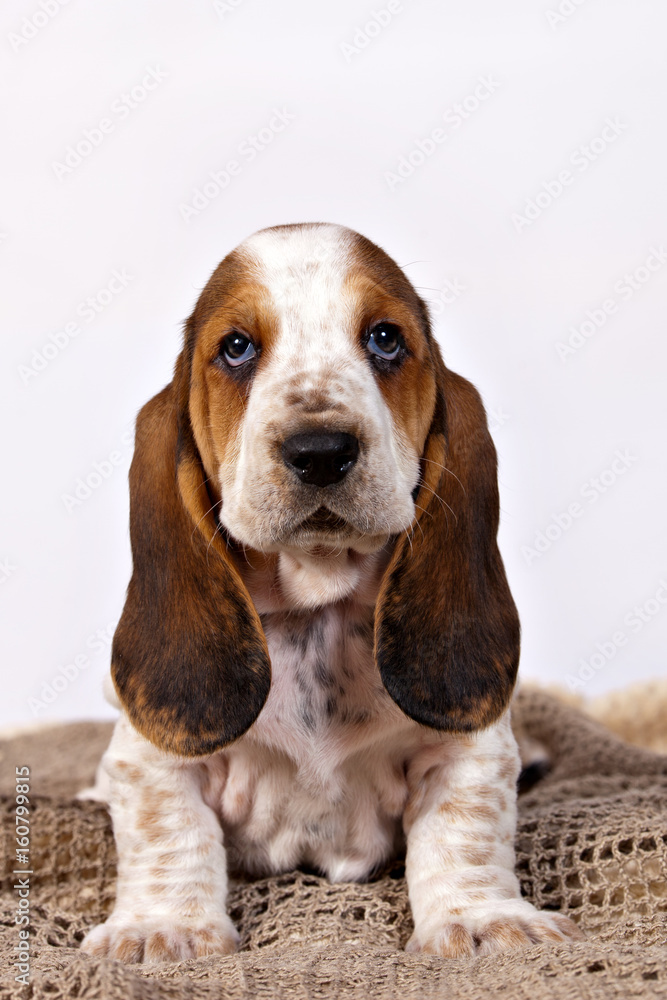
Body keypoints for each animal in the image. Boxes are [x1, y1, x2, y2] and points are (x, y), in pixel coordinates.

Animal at [82, 225, 580, 960]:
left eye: (385, 338)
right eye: (236, 347)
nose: (319, 451)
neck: (314, 600)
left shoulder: (466, 748)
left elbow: (465, 826)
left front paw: (483, 919)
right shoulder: (151, 755)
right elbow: (166, 826)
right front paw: (160, 926)